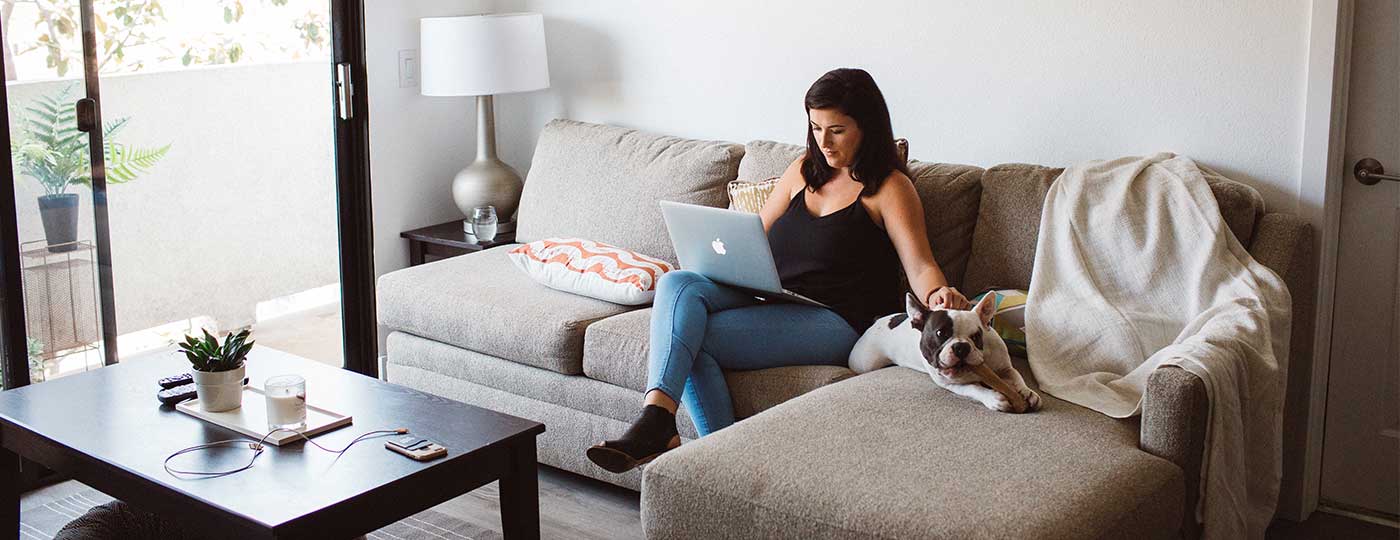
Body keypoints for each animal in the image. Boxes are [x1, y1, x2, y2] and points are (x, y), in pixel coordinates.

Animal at [840, 290, 1041, 414]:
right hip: (866, 363)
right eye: (940, 334)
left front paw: (1027, 392)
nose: (961, 346)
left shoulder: (1004, 368)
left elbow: (1016, 376)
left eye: (977, 336)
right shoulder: (951, 384)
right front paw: (993, 397)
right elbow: (974, 388)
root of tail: (877, 321)